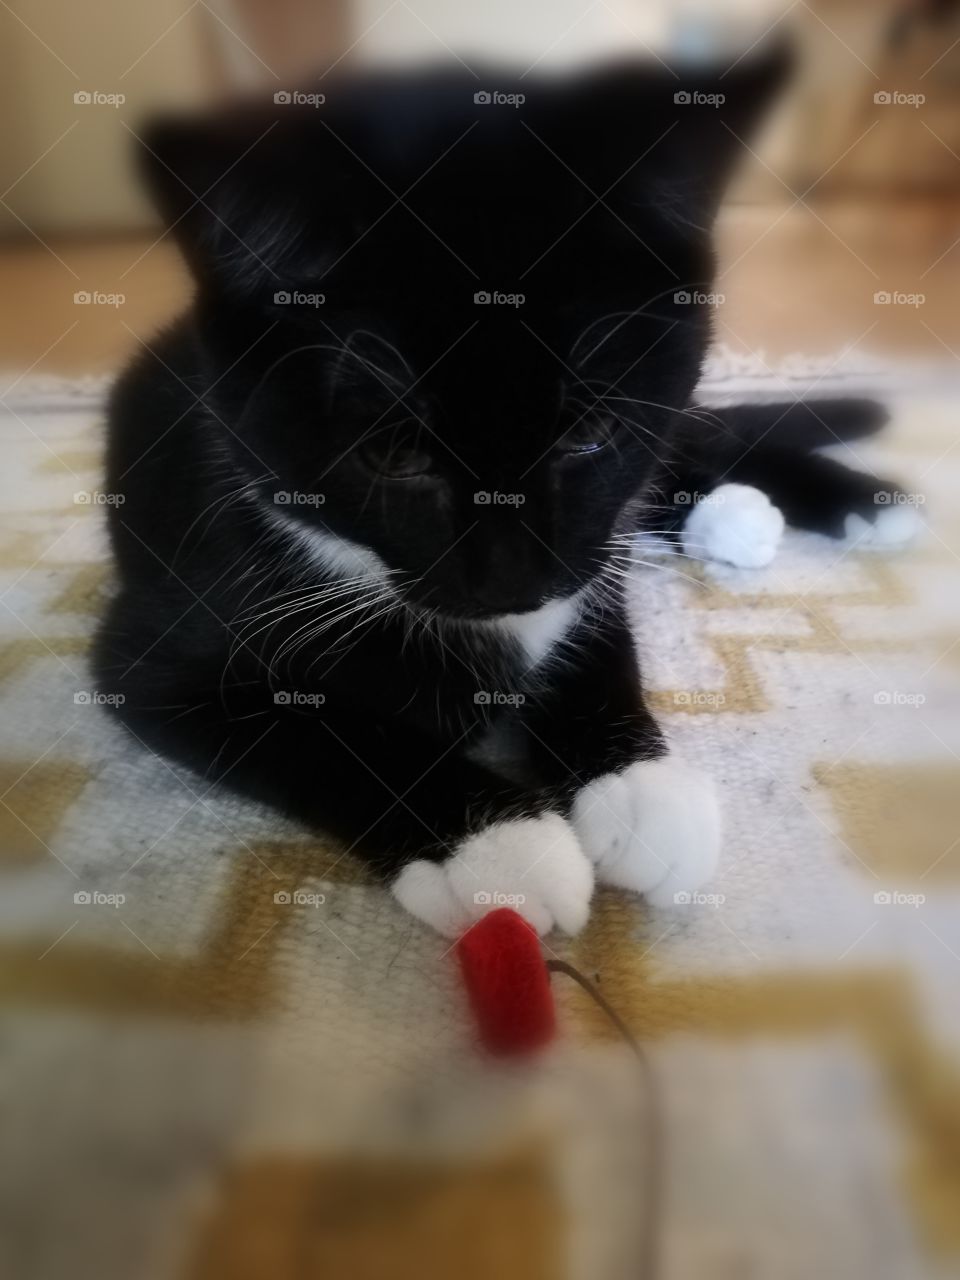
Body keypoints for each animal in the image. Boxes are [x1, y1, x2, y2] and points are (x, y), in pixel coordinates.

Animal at [92, 55, 916, 936]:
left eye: (590, 431)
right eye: (394, 454)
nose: (517, 582)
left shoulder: (589, 541)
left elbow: (596, 612)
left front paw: (637, 787)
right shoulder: (161, 648)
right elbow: (317, 734)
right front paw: (498, 846)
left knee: (696, 446)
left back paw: (857, 506)